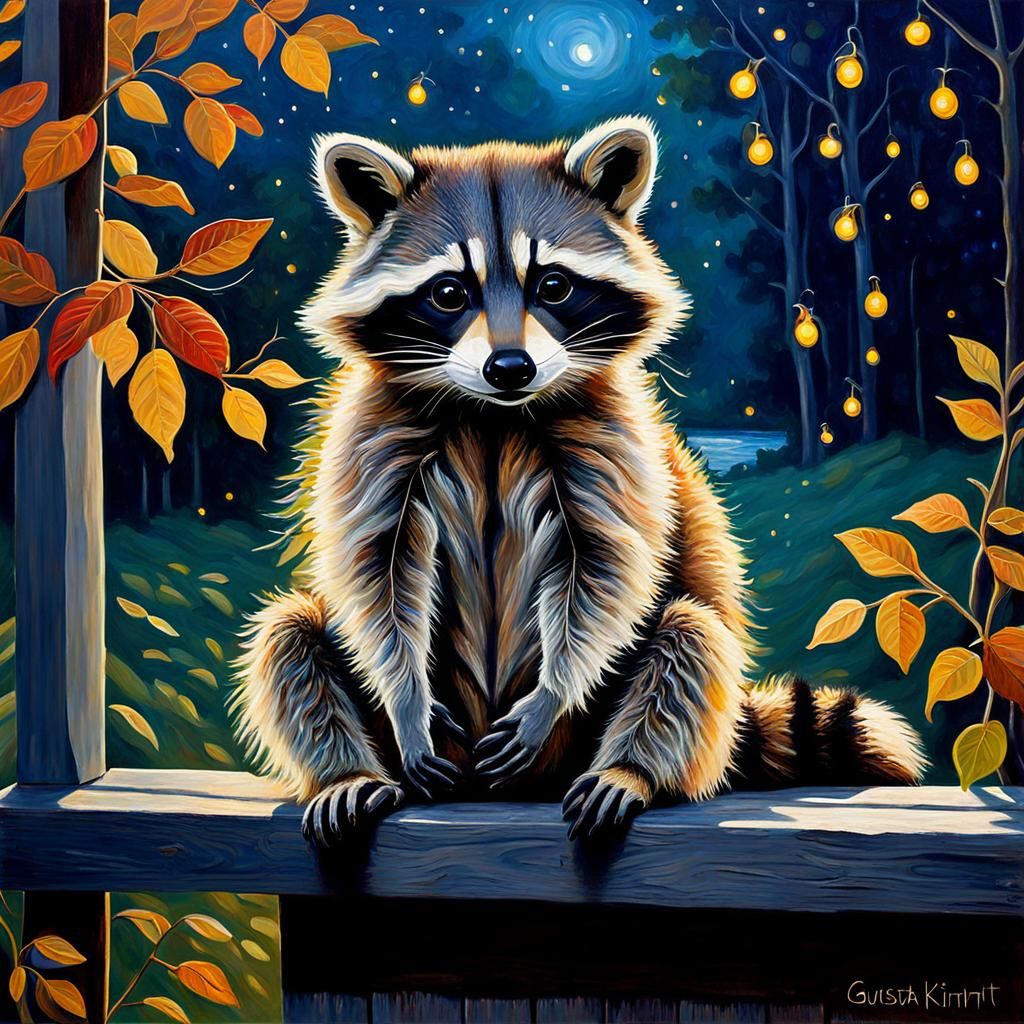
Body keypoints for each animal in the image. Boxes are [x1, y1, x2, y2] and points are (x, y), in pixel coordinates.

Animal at [233, 116, 925, 847]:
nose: (511, 367)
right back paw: (347, 772)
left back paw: (632, 769)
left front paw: (555, 692)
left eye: (554, 286)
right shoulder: (374, 434)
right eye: (450, 293)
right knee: (288, 639)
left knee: (690, 641)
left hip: (598, 726)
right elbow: (377, 572)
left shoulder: (611, 438)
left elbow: (604, 570)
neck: (493, 415)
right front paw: (404, 695)